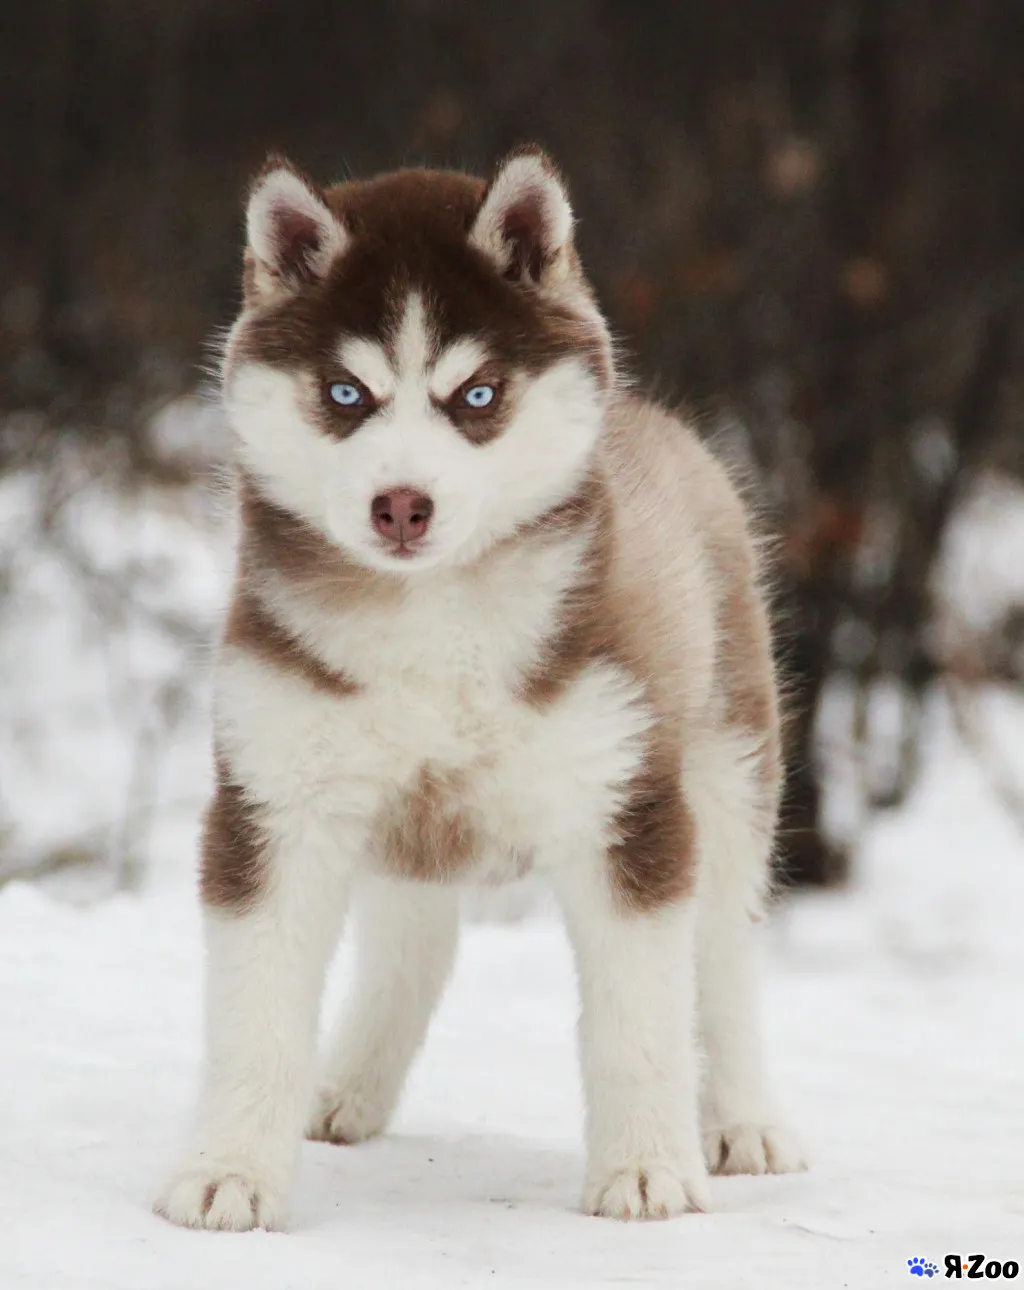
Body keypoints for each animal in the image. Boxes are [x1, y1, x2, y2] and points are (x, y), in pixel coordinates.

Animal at [155, 146, 799, 1233]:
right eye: (345, 394)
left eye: (480, 396)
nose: (401, 505)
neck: (431, 621)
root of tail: (664, 425)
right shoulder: (277, 803)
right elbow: (256, 1018)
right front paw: (228, 1173)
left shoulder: (623, 807)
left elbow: (640, 1017)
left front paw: (646, 1173)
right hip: (399, 817)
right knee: (413, 944)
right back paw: (346, 1089)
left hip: (725, 774)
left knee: (721, 959)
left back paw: (745, 1124)